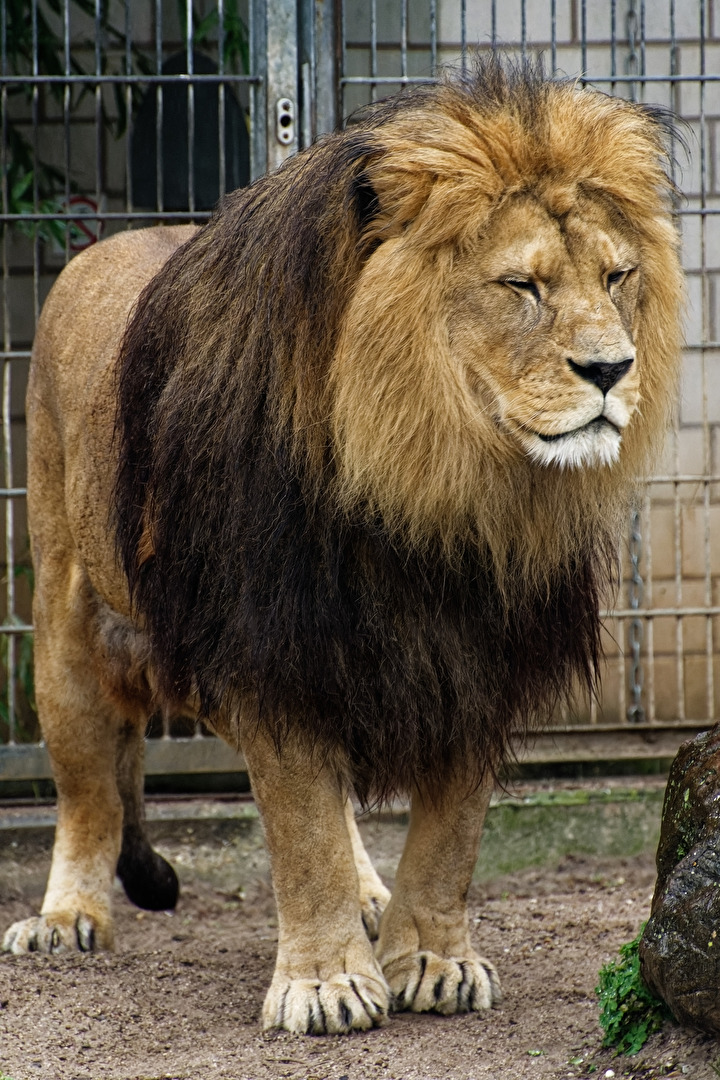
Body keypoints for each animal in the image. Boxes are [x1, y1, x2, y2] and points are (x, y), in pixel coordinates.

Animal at [2, 57, 682, 1036]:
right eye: (522, 286)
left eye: (619, 274)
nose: (611, 370)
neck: (436, 483)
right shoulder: (267, 639)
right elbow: (301, 823)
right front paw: (324, 984)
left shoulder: (476, 649)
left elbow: (449, 833)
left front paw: (432, 960)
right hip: (67, 624)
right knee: (89, 791)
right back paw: (66, 918)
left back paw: (368, 896)